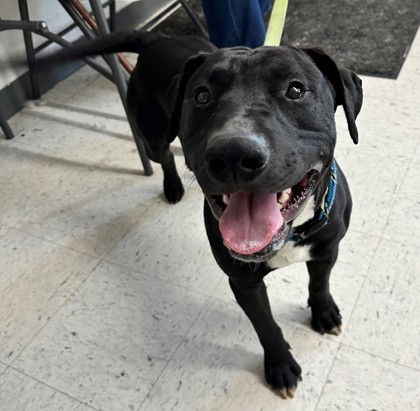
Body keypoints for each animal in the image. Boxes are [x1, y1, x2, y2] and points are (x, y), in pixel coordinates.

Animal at [39, 32, 362, 400]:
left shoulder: (327, 249)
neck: (291, 234)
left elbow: (320, 284)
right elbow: (265, 325)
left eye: (295, 90)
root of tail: (157, 37)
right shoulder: (244, 283)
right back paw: (173, 185)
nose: (234, 153)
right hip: (152, 133)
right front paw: (280, 365)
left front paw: (324, 312)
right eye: (202, 95)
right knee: (164, 155)